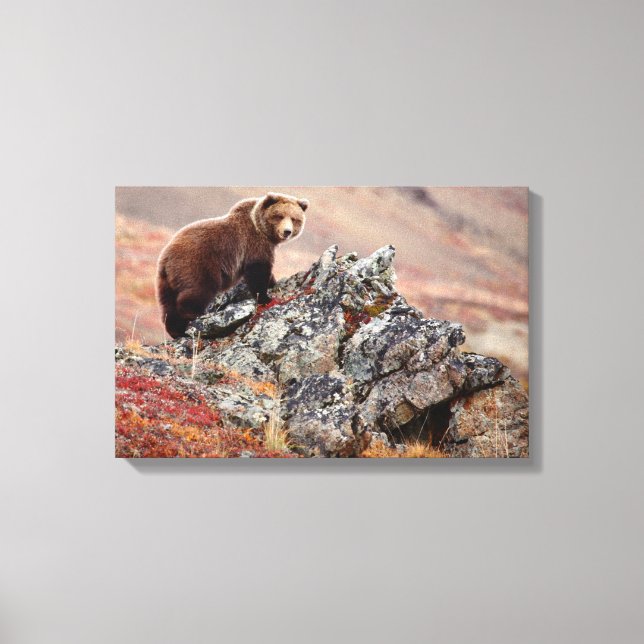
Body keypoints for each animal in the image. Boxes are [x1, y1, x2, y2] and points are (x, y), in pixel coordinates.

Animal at [156, 192, 310, 338]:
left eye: (294, 219)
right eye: (279, 216)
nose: (287, 231)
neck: (263, 231)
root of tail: (166, 258)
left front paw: (272, 283)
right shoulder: (254, 244)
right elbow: (258, 272)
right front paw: (266, 298)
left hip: (166, 280)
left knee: (168, 305)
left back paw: (175, 330)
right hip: (197, 264)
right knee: (198, 290)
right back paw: (192, 318)